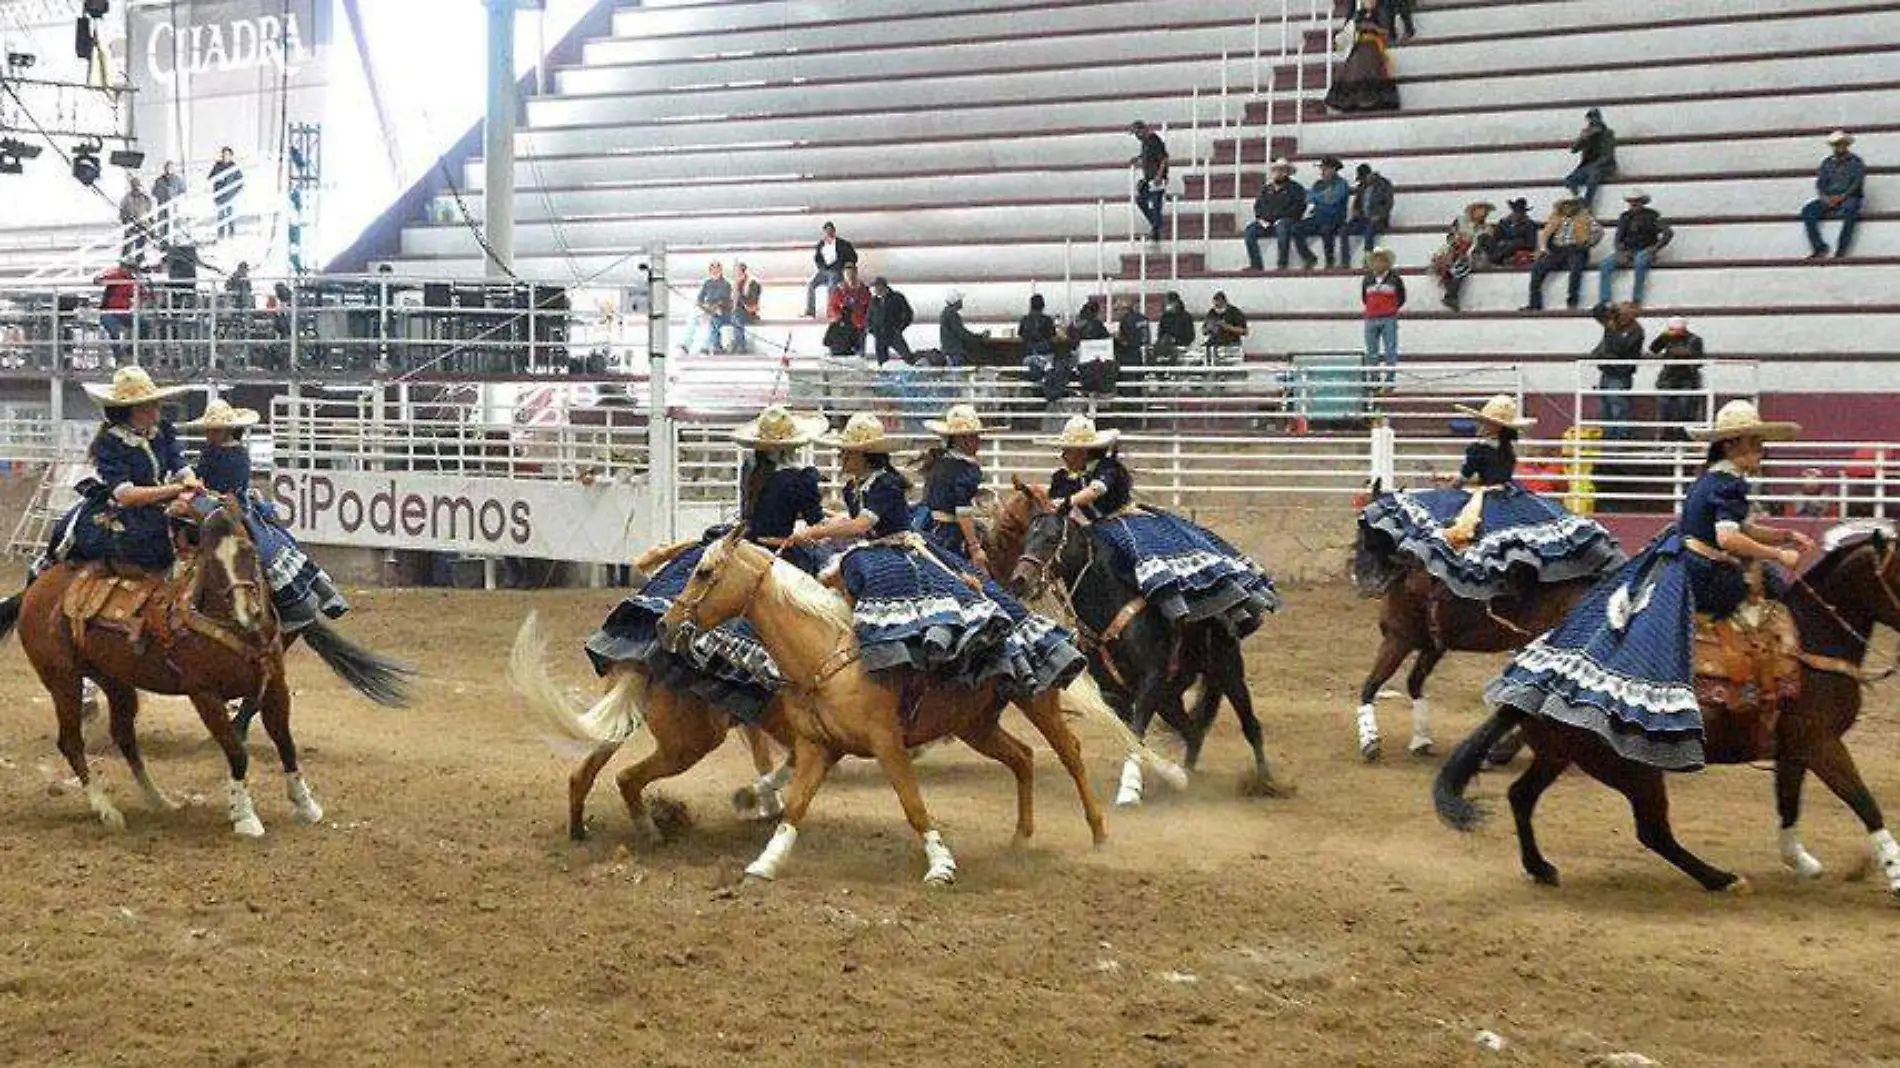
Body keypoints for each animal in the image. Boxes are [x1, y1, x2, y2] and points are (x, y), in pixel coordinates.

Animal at [0, 494, 410, 836]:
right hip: (63, 681)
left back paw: (160, 800)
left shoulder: (274, 684)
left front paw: (306, 804)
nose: (248, 612)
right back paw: (106, 810)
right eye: (211, 562)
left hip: (117, 682)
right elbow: (236, 751)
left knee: (125, 737)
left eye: (250, 550)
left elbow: (286, 743)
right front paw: (244, 815)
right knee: (71, 742)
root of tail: (33, 591)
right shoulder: (204, 695)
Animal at [1010, 490, 1276, 798]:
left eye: (1052, 537)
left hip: (1228, 672)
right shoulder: (1114, 693)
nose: (1019, 580)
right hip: (1170, 697)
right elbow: (1132, 737)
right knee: (1193, 731)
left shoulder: (1150, 681)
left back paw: (1266, 782)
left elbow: (1137, 732)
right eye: (1027, 537)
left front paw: (1129, 788)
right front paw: (1161, 776)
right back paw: (1187, 776)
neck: (1110, 609)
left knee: (1250, 726)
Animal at [1428, 528, 1900, 893]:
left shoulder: (1796, 749)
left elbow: (1789, 804)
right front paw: (1894, 873)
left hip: (1559, 754)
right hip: (1633, 770)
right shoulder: (1822, 744)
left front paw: (1799, 860)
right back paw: (1720, 878)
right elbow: (1865, 803)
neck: (1809, 645)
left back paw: (1541, 868)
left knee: (1521, 796)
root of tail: (1534, 689)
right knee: (1653, 830)